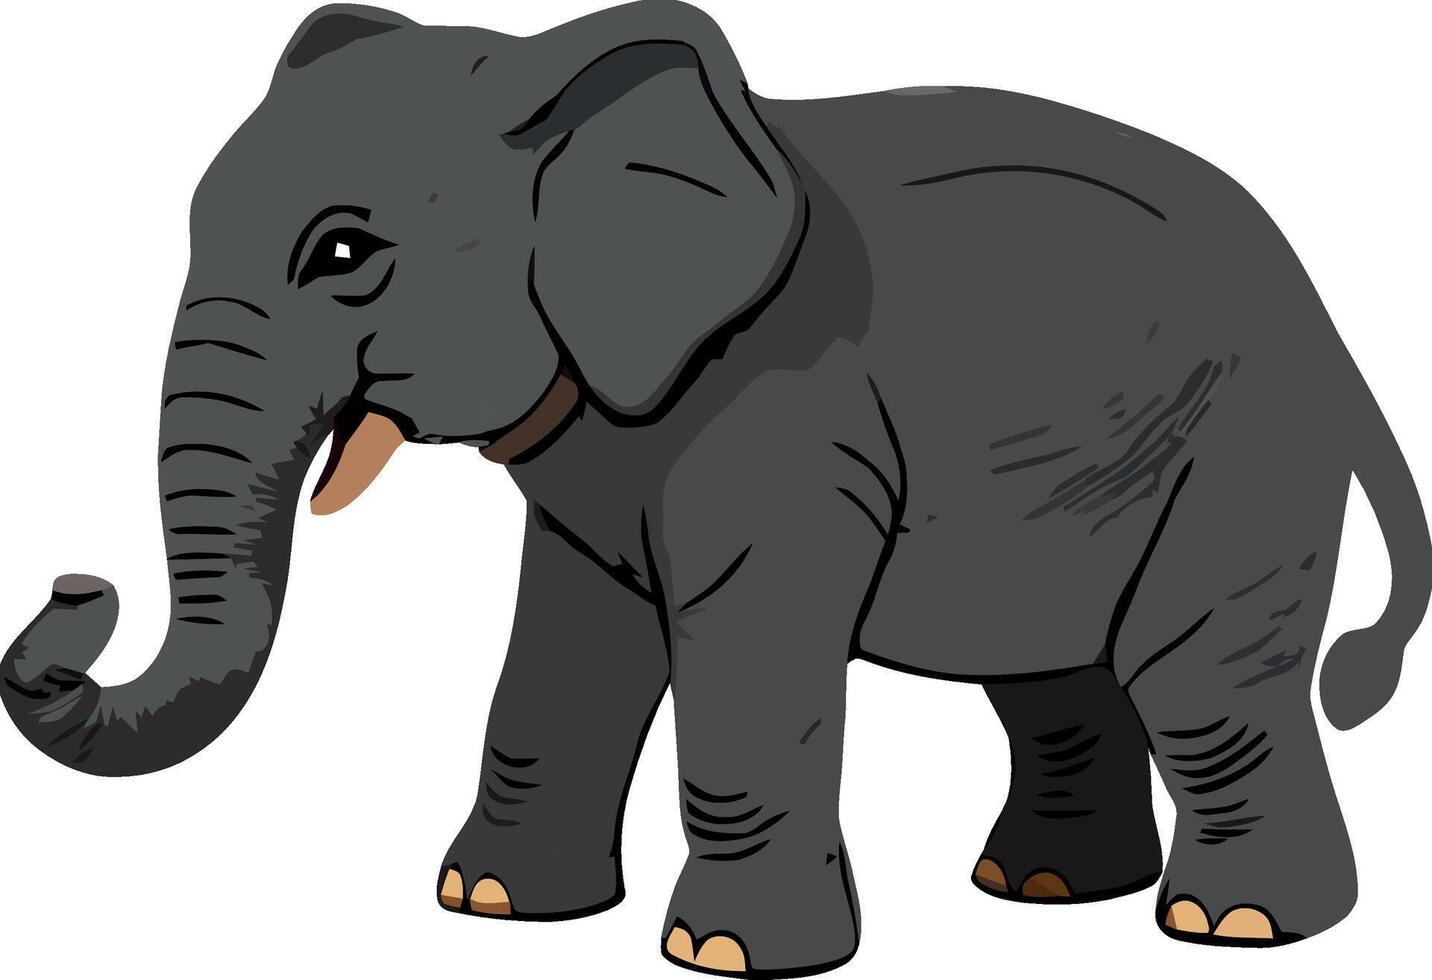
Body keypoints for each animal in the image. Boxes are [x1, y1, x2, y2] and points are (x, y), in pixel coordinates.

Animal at [4, 1, 1428, 974]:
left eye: (344, 255)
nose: (77, 584)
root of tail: (1332, 319)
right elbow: (571, 641)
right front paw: (493, 907)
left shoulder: (779, 415)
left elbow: (744, 641)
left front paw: (726, 956)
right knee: (1049, 672)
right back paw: (1036, 889)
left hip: (1243, 446)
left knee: (1198, 670)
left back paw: (1230, 922)